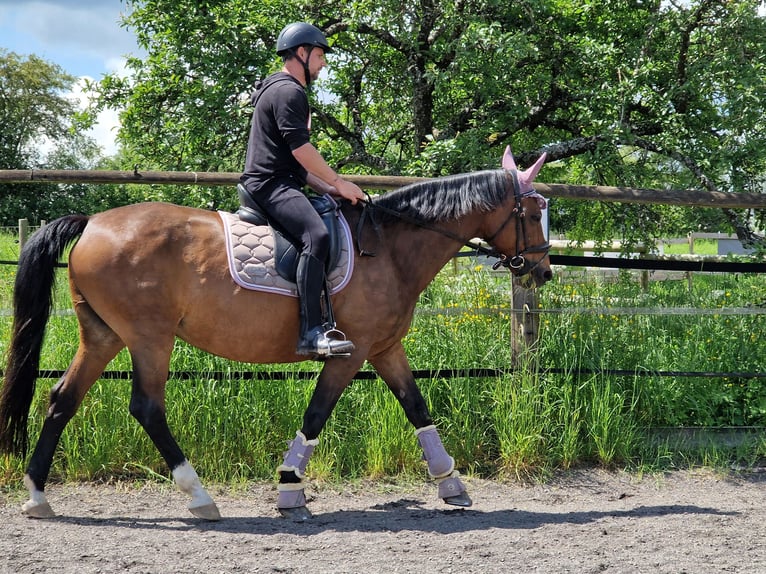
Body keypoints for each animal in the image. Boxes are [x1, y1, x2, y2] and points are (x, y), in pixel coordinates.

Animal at [0, 147, 552, 520]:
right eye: (530, 212)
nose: (542, 271)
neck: (389, 247)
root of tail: (92, 222)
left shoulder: (385, 348)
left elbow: (417, 408)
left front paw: (451, 484)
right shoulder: (349, 354)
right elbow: (317, 415)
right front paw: (290, 491)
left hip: (104, 335)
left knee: (62, 399)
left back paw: (37, 496)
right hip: (149, 337)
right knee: (147, 408)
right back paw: (200, 497)